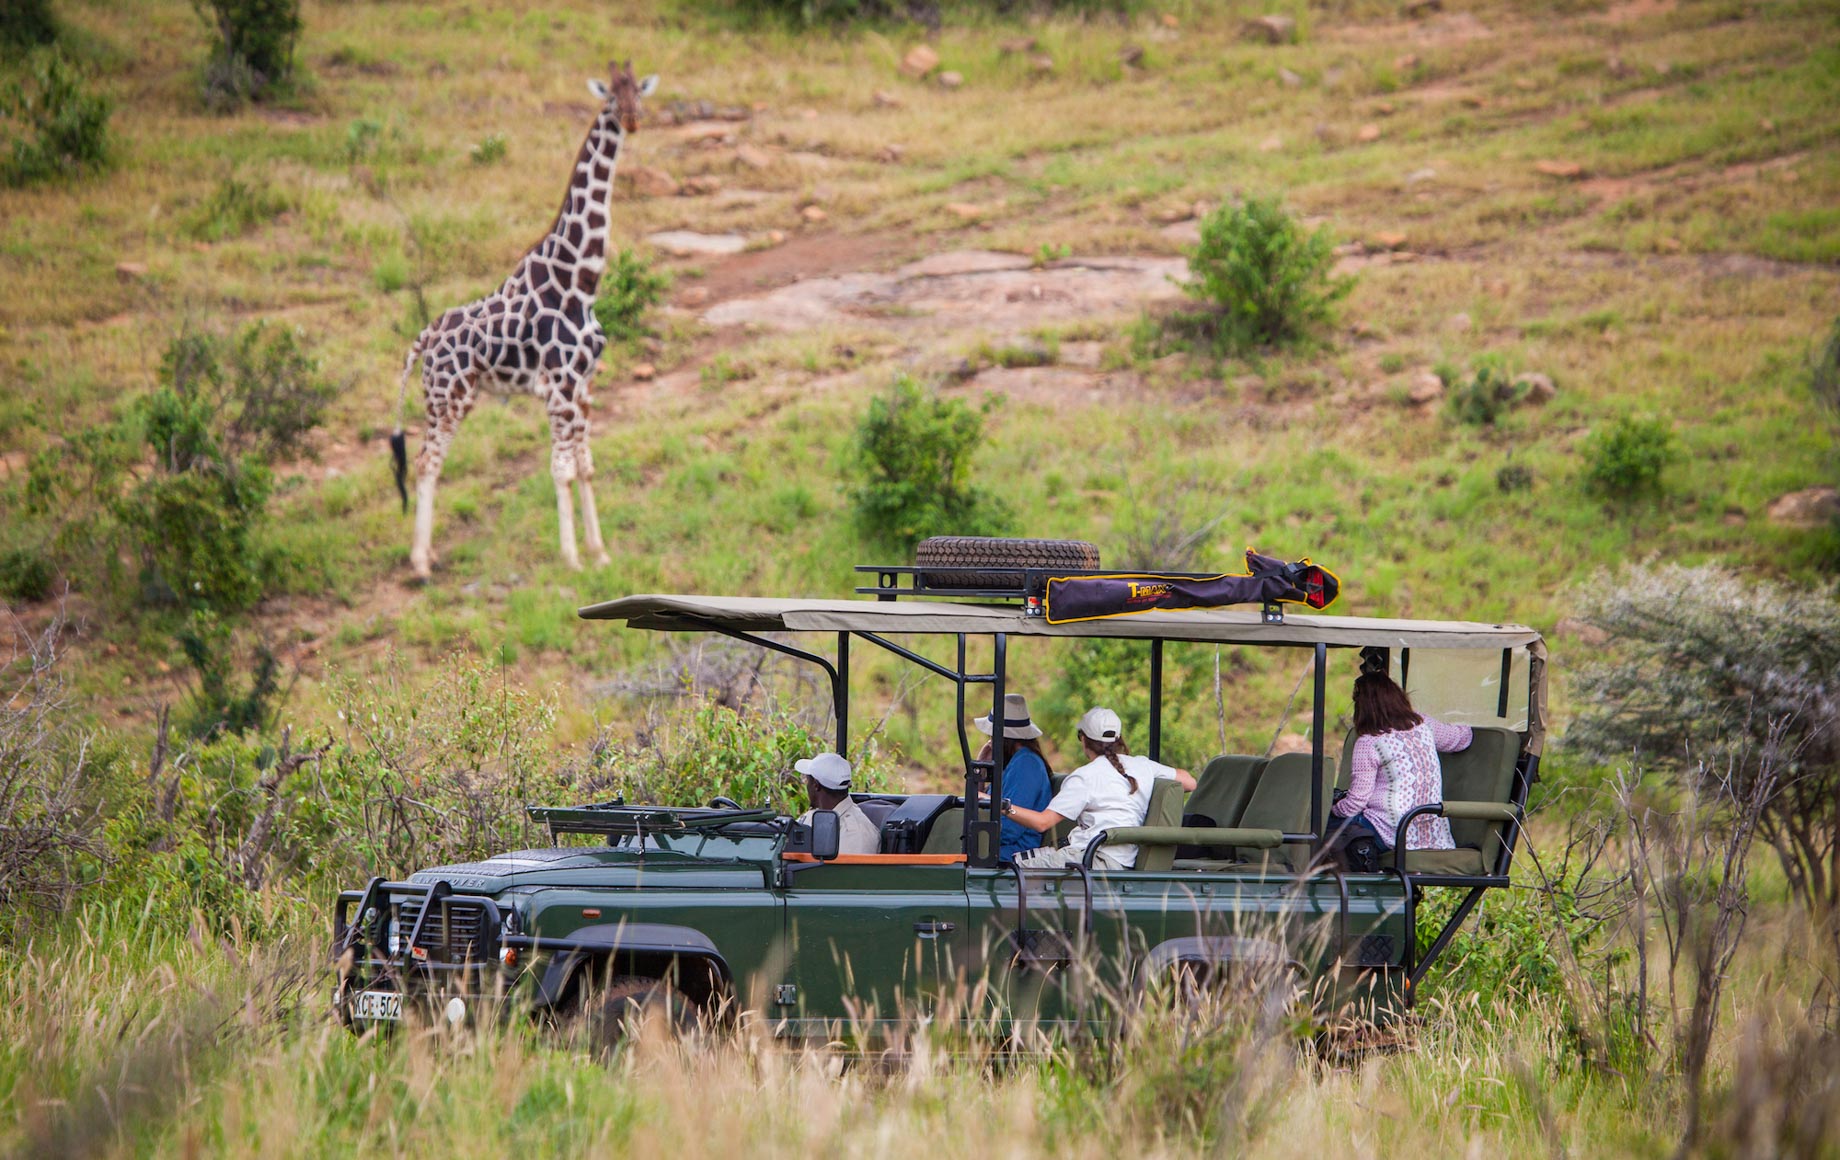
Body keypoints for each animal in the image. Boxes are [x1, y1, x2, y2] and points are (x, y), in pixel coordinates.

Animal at [384, 61, 658, 578]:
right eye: (611, 96)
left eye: (640, 93)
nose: (633, 120)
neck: (580, 279)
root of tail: (423, 338)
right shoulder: (558, 388)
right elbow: (561, 468)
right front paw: (572, 559)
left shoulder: (583, 386)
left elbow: (586, 464)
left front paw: (600, 553)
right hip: (447, 397)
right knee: (427, 462)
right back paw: (421, 565)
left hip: (450, 398)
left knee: (432, 460)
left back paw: (428, 555)